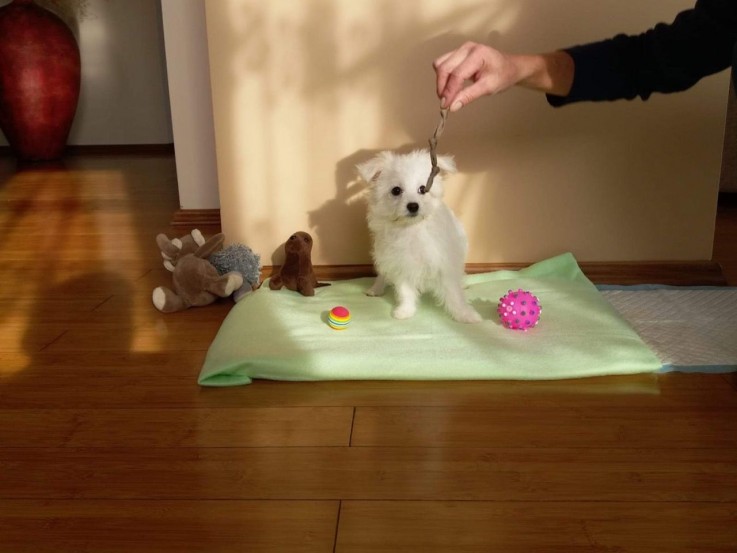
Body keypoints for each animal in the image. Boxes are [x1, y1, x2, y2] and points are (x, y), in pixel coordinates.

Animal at [356, 150, 484, 324]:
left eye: (423, 189)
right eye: (396, 190)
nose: (413, 206)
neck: (413, 229)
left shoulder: (444, 264)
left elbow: (454, 293)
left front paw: (466, 315)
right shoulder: (401, 265)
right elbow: (405, 291)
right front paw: (405, 311)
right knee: (382, 274)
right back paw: (376, 289)